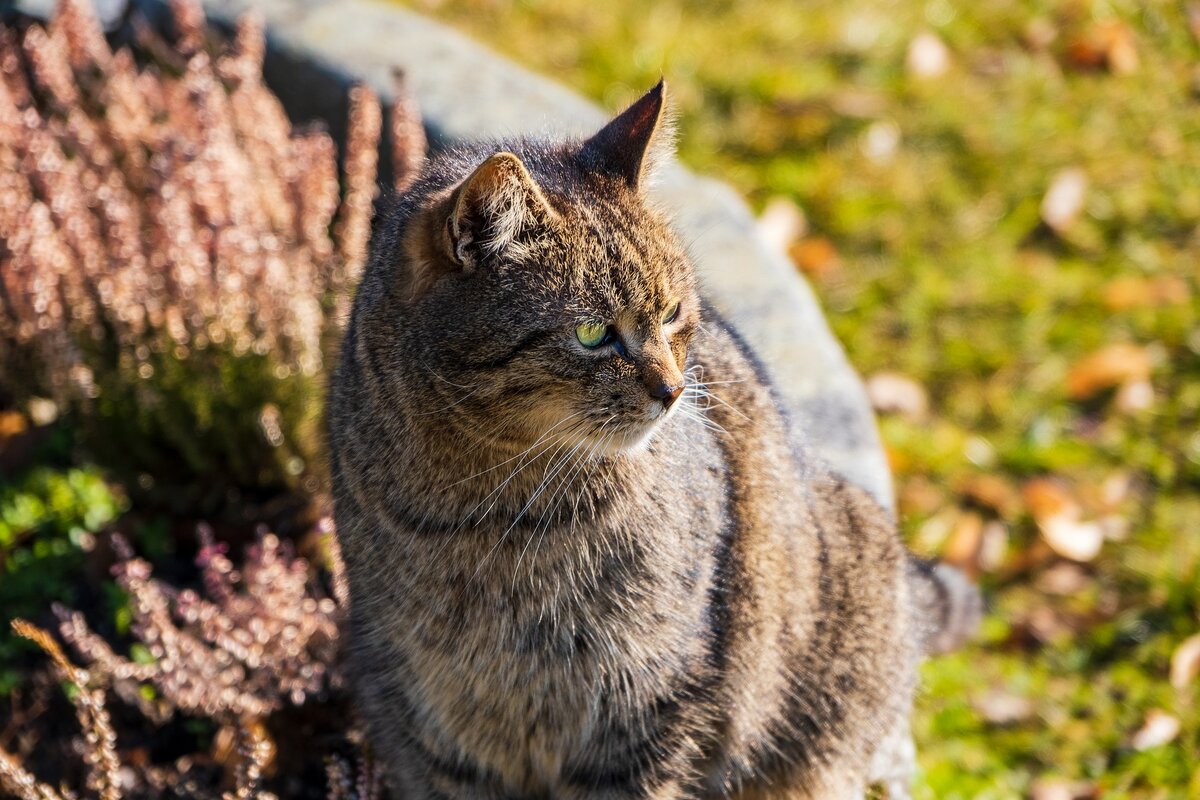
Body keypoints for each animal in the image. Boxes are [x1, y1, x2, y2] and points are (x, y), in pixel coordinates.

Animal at [326, 82, 974, 800]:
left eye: (671, 314)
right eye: (591, 333)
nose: (672, 390)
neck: (487, 510)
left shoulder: (649, 698)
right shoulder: (434, 721)